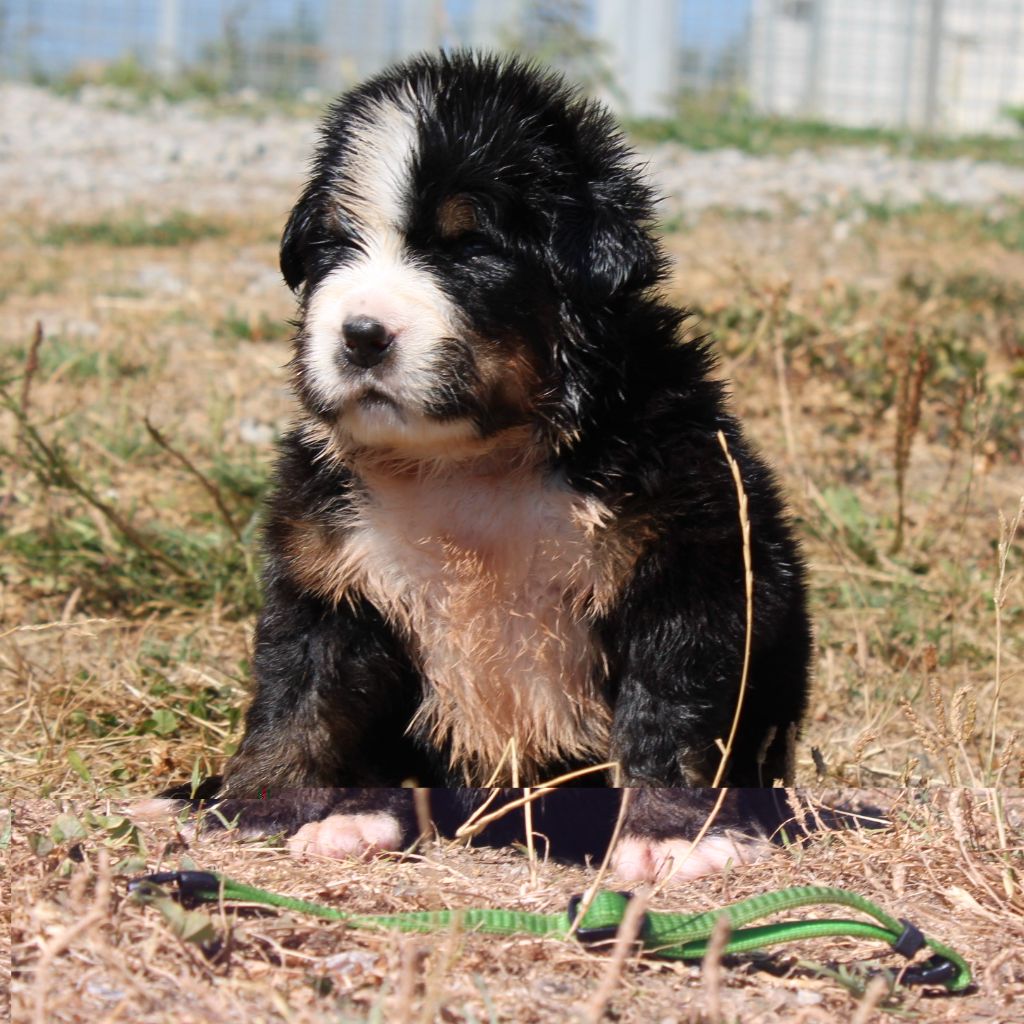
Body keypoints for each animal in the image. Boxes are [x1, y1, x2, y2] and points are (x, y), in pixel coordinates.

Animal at [147, 52, 811, 878]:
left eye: (469, 250)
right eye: (336, 247)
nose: (360, 335)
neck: (471, 462)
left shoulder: (688, 563)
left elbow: (672, 708)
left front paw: (670, 832)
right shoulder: (329, 575)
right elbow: (298, 697)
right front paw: (255, 806)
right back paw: (352, 819)